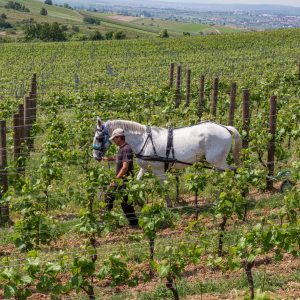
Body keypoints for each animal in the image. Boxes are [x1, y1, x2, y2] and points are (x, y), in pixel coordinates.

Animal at [92, 118, 243, 207]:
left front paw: (169, 205)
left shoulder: (158, 171)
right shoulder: (145, 168)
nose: (96, 156)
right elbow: (137, 182)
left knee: (230, 173)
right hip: (217, 163)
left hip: (217, 162)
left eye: (98, 138)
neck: (143, 141)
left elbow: (164, 186)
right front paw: (136, 199)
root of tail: (225, 128)